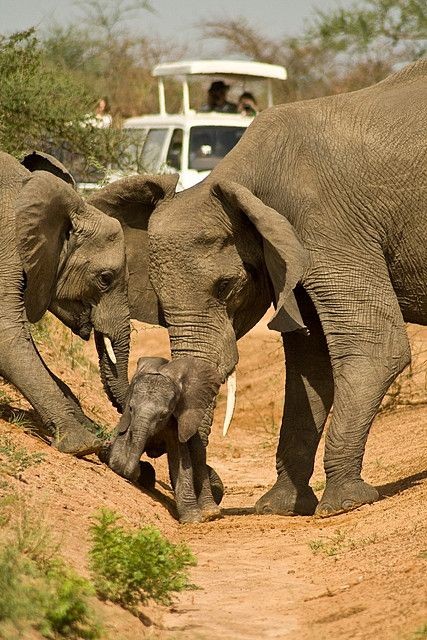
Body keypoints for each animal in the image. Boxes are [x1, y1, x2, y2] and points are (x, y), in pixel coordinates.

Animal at [108, 358, 224, 524]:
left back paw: (211, 514)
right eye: (130, 408)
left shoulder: (177, 423)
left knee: (198, 456)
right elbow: (118, 449)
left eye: (164, 415)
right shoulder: (128, 420)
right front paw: (137, 471)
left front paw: (193, 520)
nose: (135, 471)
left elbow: (181, 462)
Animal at [118, 60, 427, 516]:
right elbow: (309, 362)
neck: (239, 175)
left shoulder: (328, 225)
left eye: (228, 286)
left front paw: (343, 504)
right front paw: (280, 507)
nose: (212, 506)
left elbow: (375, 347)